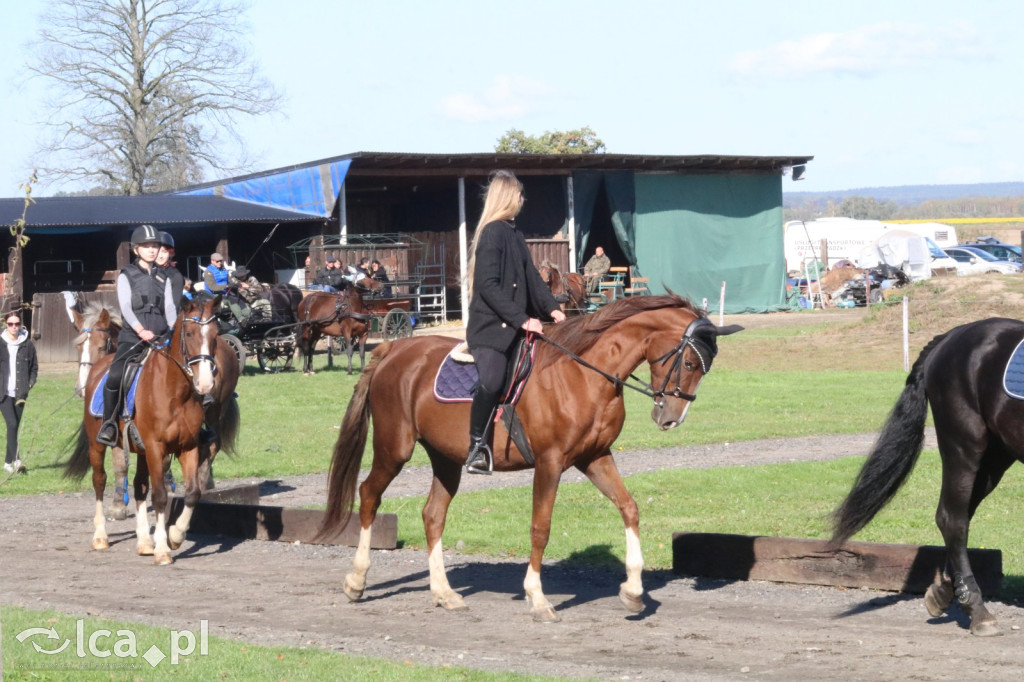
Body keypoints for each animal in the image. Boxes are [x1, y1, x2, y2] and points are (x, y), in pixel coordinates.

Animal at [64, 296, 226, 561]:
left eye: (214, 334)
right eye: (189, 333)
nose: (205, 383)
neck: (176, 392)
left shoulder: (187, 447)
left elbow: (192, 493)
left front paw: (175, 536)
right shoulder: (155, 447)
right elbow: (159, 496)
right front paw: (162, 549)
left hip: (140, 450)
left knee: (139, 486)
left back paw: (144, 542)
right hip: (98, 445)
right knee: (100, 481)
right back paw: (101, 537)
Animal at [319, 294, 745, 618]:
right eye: (688, 363)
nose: (670, 418)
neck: (585, 373)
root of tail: (395, 348)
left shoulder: (596, 457)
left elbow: (629, 508)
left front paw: (634, 591)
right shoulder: (550, 462)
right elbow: (541, 528)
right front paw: (538, 598)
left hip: (445, 457)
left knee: (433, 514)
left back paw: (444, 592)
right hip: (395, 448)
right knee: (369, 495)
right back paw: (357, 581)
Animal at [831, 315, 1024, 634]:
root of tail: (950, 336)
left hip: (994, 458)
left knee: (958, 516)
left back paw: (947, 589)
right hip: (963, 446)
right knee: (952, 519)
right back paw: (976, 609)